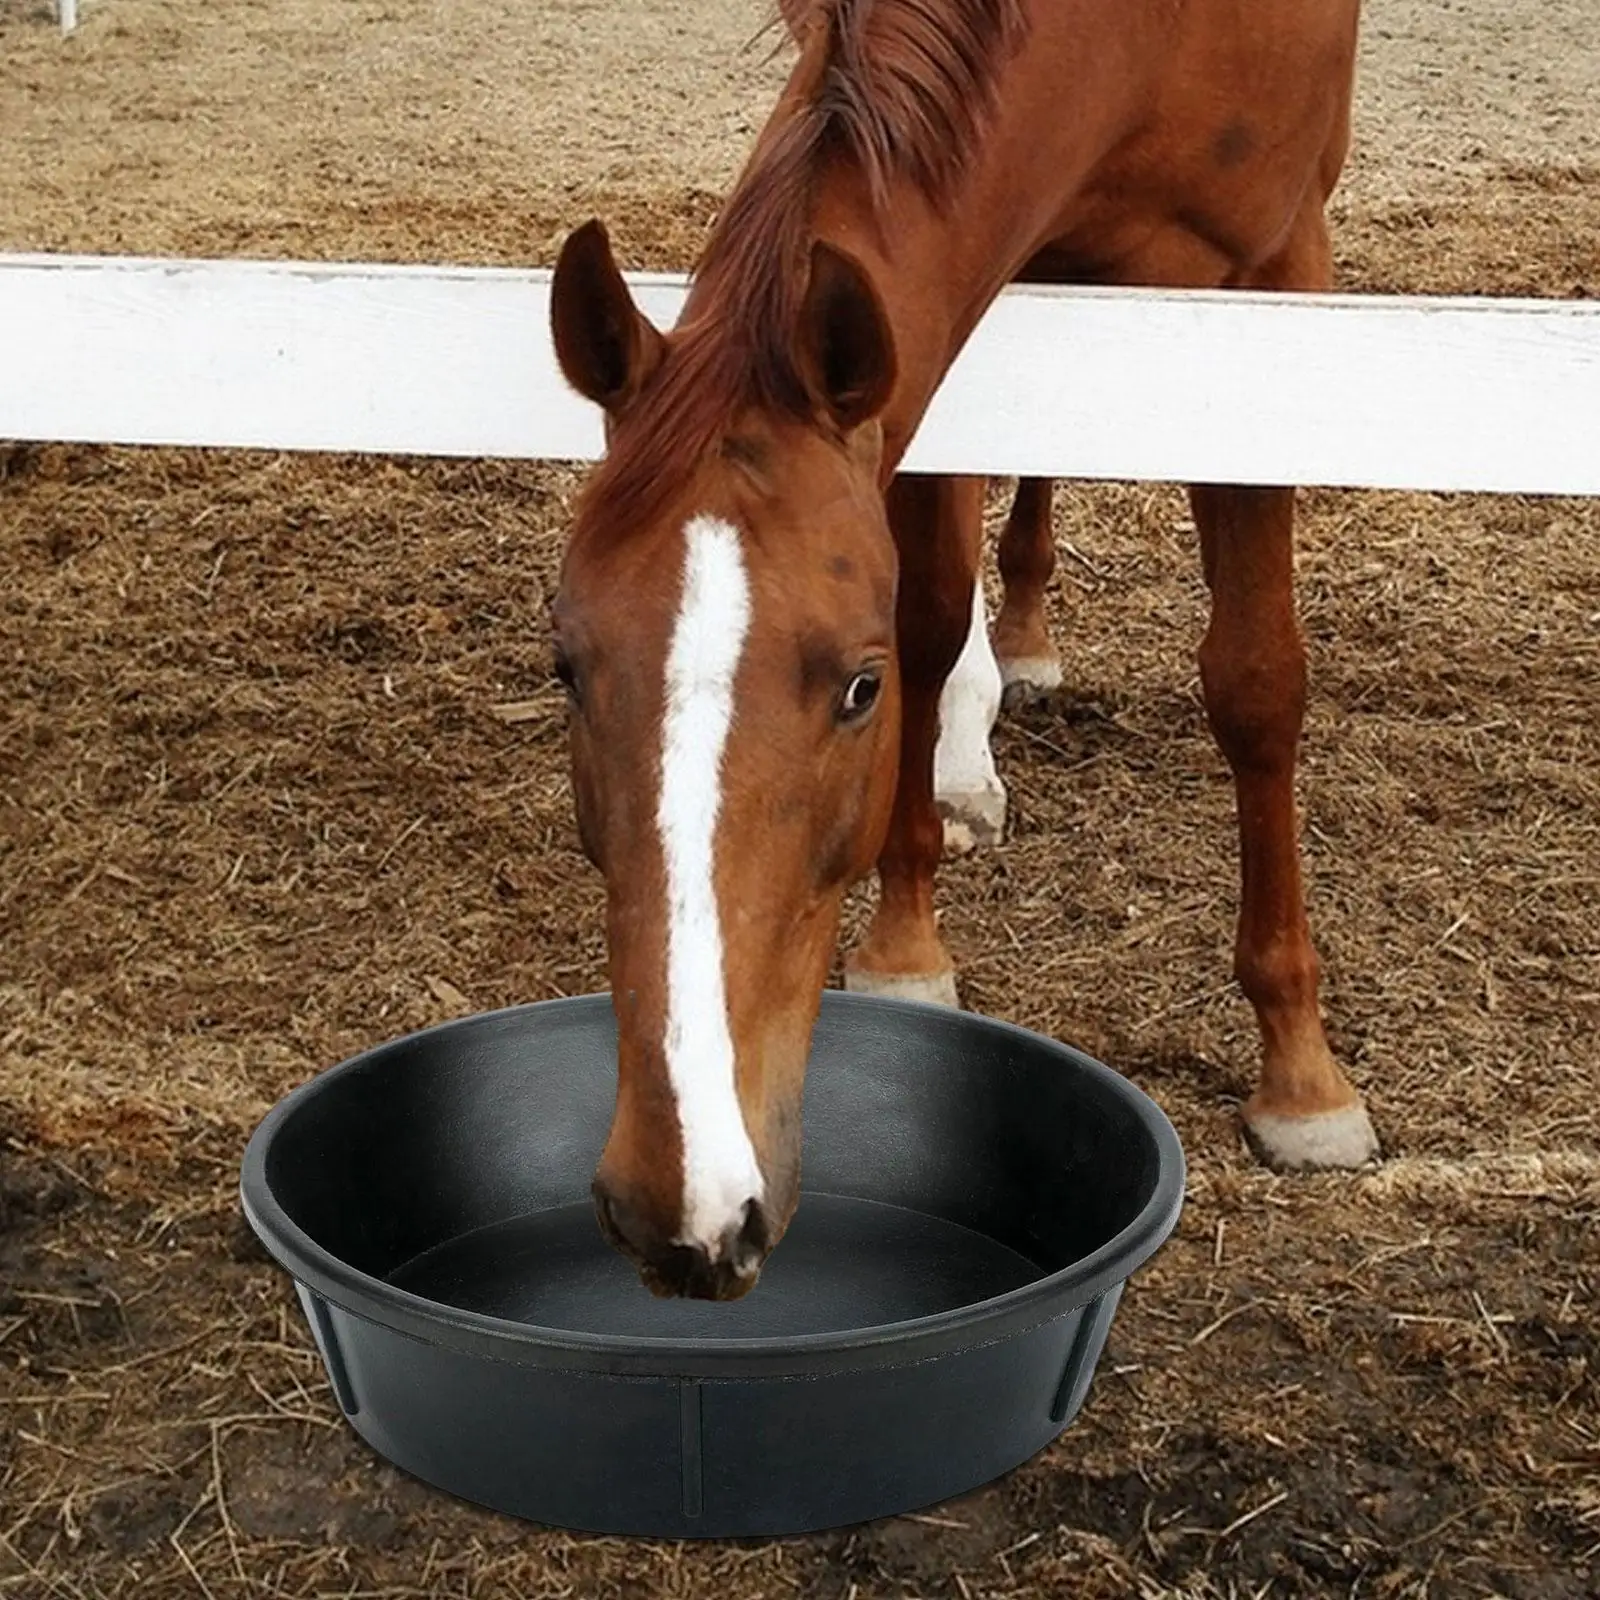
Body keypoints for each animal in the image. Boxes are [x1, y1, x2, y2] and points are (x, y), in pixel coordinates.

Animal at [548, 0, 1378, 1300]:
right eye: (567, 669)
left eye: (856, 688)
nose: (679, 1206)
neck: (1135, 36)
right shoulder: (933, 322)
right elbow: (934, 609)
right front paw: (906, 942)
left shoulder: (1273, 274)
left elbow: (1254, 682)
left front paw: (1301, 1073)